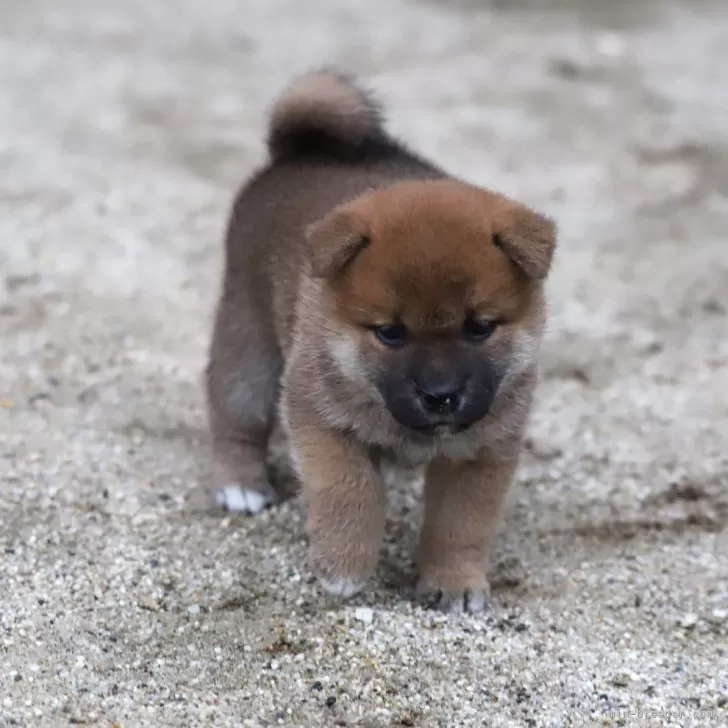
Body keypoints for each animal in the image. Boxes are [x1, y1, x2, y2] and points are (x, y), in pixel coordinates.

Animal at [205, 69, 556, 616]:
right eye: (391, 332)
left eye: (479, 327)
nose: (441, 395)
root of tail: (298, 151)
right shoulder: (322, 422)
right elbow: (350, 493)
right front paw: (343, 567)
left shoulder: (480, 453)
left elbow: (460, 526)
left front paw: (453, 583)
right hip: (249, 344)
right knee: (234, 417)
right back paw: (240, 487)